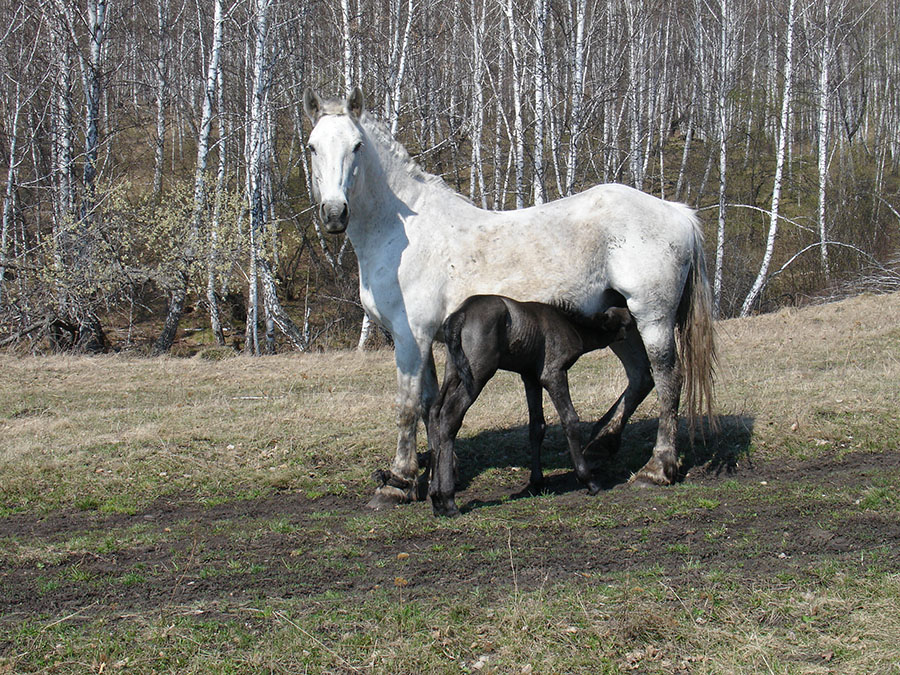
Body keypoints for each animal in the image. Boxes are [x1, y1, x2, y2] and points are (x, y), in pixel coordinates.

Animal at [428, 294, 632, 516]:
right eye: (628, 322)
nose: (634, 319)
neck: (570, 324)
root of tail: (460, 313)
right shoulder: (553, 374)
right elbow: (570, 419)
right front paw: (589, 480)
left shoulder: (530, 377)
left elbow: (537, 427)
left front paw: (537, 482)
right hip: (478, 374)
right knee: (451, 414)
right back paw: (449, 500)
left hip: (453, 372)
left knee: (435, 413)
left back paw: (435, 498)